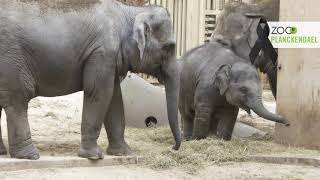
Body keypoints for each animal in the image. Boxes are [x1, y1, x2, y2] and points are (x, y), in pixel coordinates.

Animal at [0, 0, 180, 160]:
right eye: (169, 47)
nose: (173, 148)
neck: (129, 12)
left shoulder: (110, 59)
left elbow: (115, 98)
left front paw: (124, 153)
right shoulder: (102, 53)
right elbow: (99, 92)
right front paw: (94, 156)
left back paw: (3, 153)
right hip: (12, 60)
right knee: (18, 101)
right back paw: (30, 156)